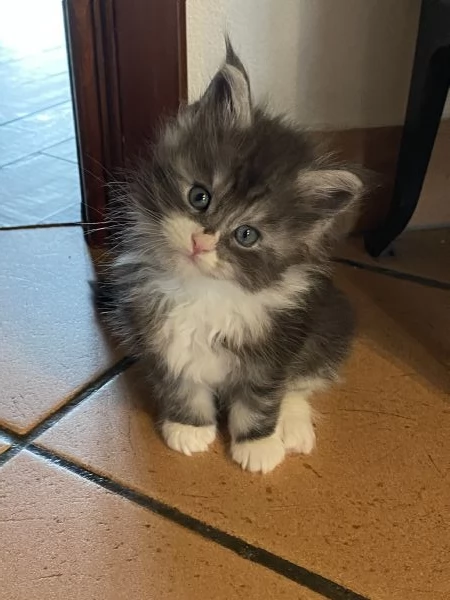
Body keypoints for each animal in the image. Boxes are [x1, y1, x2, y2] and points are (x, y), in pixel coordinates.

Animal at [97, 42, 362, 474]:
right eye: (199, 196)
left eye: (246, 235)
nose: (201, 243)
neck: (203, 292)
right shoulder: (155, 329)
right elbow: (180, 382)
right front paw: (189, 428)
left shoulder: (275, 344)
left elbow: (263, 395)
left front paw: (259, 444)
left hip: (328, 327)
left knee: (302, 380)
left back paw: (293, 427)